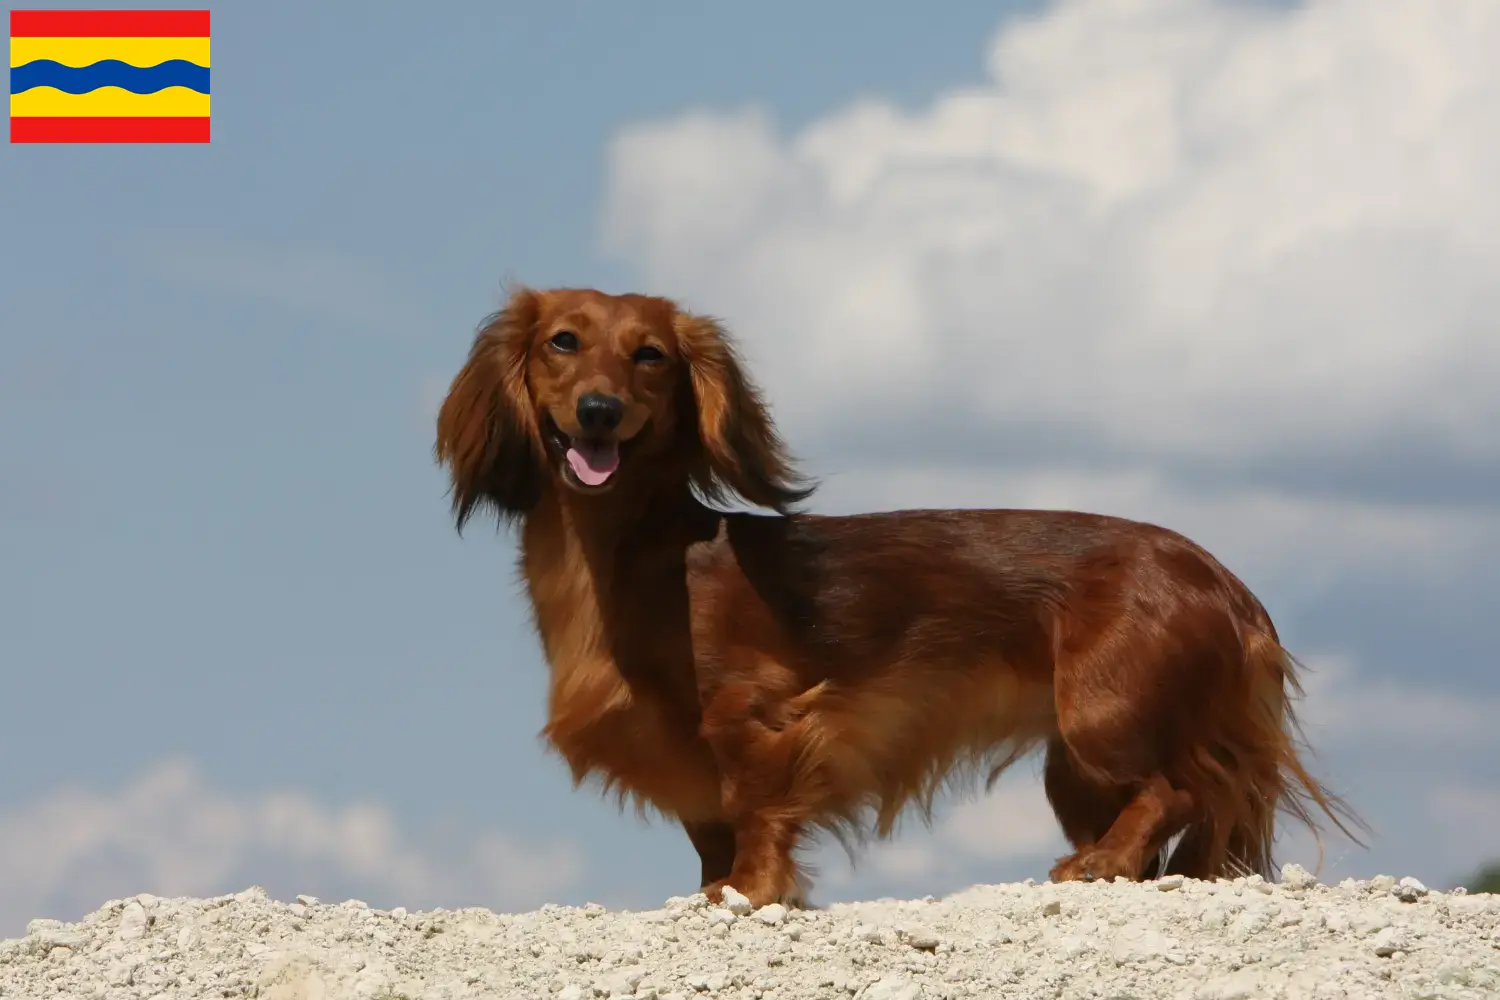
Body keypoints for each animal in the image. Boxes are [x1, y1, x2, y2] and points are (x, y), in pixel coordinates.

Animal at [432, 283, 1362, 905]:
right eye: (562, 341)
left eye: (649, 356)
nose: (598, 411)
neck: (641, 559)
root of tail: (1228, 582)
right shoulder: (678, 754)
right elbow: (709, 828)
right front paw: (711, 888)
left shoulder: (755, 715)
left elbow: (753, 806)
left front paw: (752, 889)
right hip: (1074, 767)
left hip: (1105, 720)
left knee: (1180, 790)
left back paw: (1101, 864)